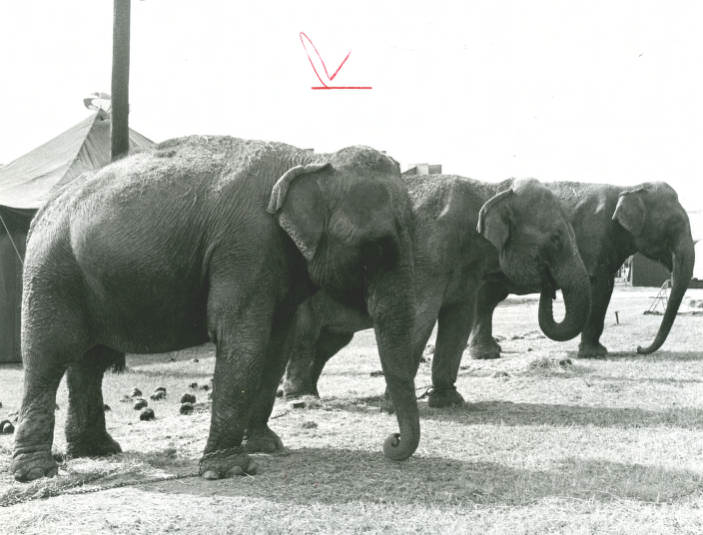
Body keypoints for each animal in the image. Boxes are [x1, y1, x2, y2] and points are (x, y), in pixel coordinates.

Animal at [12, 136, 418, 484]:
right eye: (377, 248)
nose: (392, 442)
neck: (310, 159)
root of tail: (42, 211)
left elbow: (276, 344)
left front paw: (267, 447)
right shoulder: (246, 243)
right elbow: (241, 338)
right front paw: (230, 470)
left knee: (89, 363)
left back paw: (98, 451)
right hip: (51, 273)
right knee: (49, 357)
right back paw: (36, 472)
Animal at [280, 176, 592, 406]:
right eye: (556, 239)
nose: (549, 287)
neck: (490, 189)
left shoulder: (466, 268)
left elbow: (459, 320)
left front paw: (448, 401)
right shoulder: (428, 254)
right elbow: (420, 316)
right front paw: (395, 403)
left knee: (329, 343)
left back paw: (307, 393)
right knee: (305, 336)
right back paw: (298, 396)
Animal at [468, 180, 700, 360]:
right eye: (675, 225)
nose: (639, 348)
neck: (628, 188)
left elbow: (605, 288)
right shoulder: (594, 238)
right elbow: (599, 288)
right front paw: (595, 354)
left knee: (489, 298)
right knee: (485, 297)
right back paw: (487, 353)